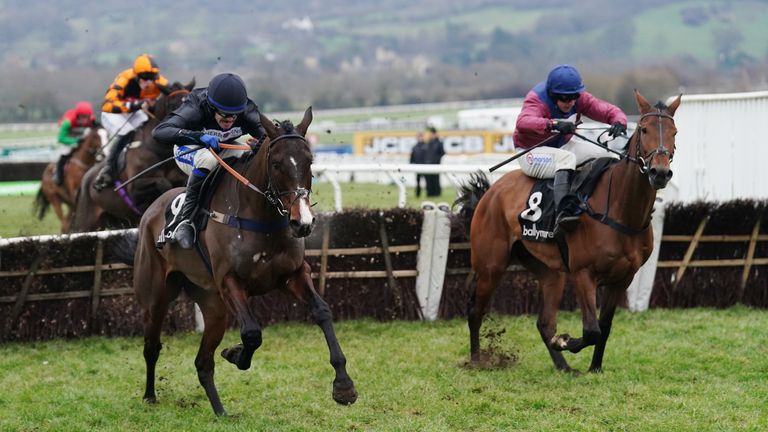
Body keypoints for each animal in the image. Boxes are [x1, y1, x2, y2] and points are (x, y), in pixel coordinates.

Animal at [70, 79, 194, 231]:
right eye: (172, 105)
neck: (160, 151)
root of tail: (84, 181)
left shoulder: (180, 179)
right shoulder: (134, 189)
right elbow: (163, 183)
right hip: (84, 223)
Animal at [460, 90, 680, 372]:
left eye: (675, 132)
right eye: (643, 129)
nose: (660, 172)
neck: (620, 209)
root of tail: (490, 192)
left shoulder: (623, 278)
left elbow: (604, 327)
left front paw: (594, 368)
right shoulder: (583, 274)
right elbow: (591, 330)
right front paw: (565, 341)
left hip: (550, 273)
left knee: (544, 322)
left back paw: (564, 367)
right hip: (491, 265)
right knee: (475, 310)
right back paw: (477, 360)